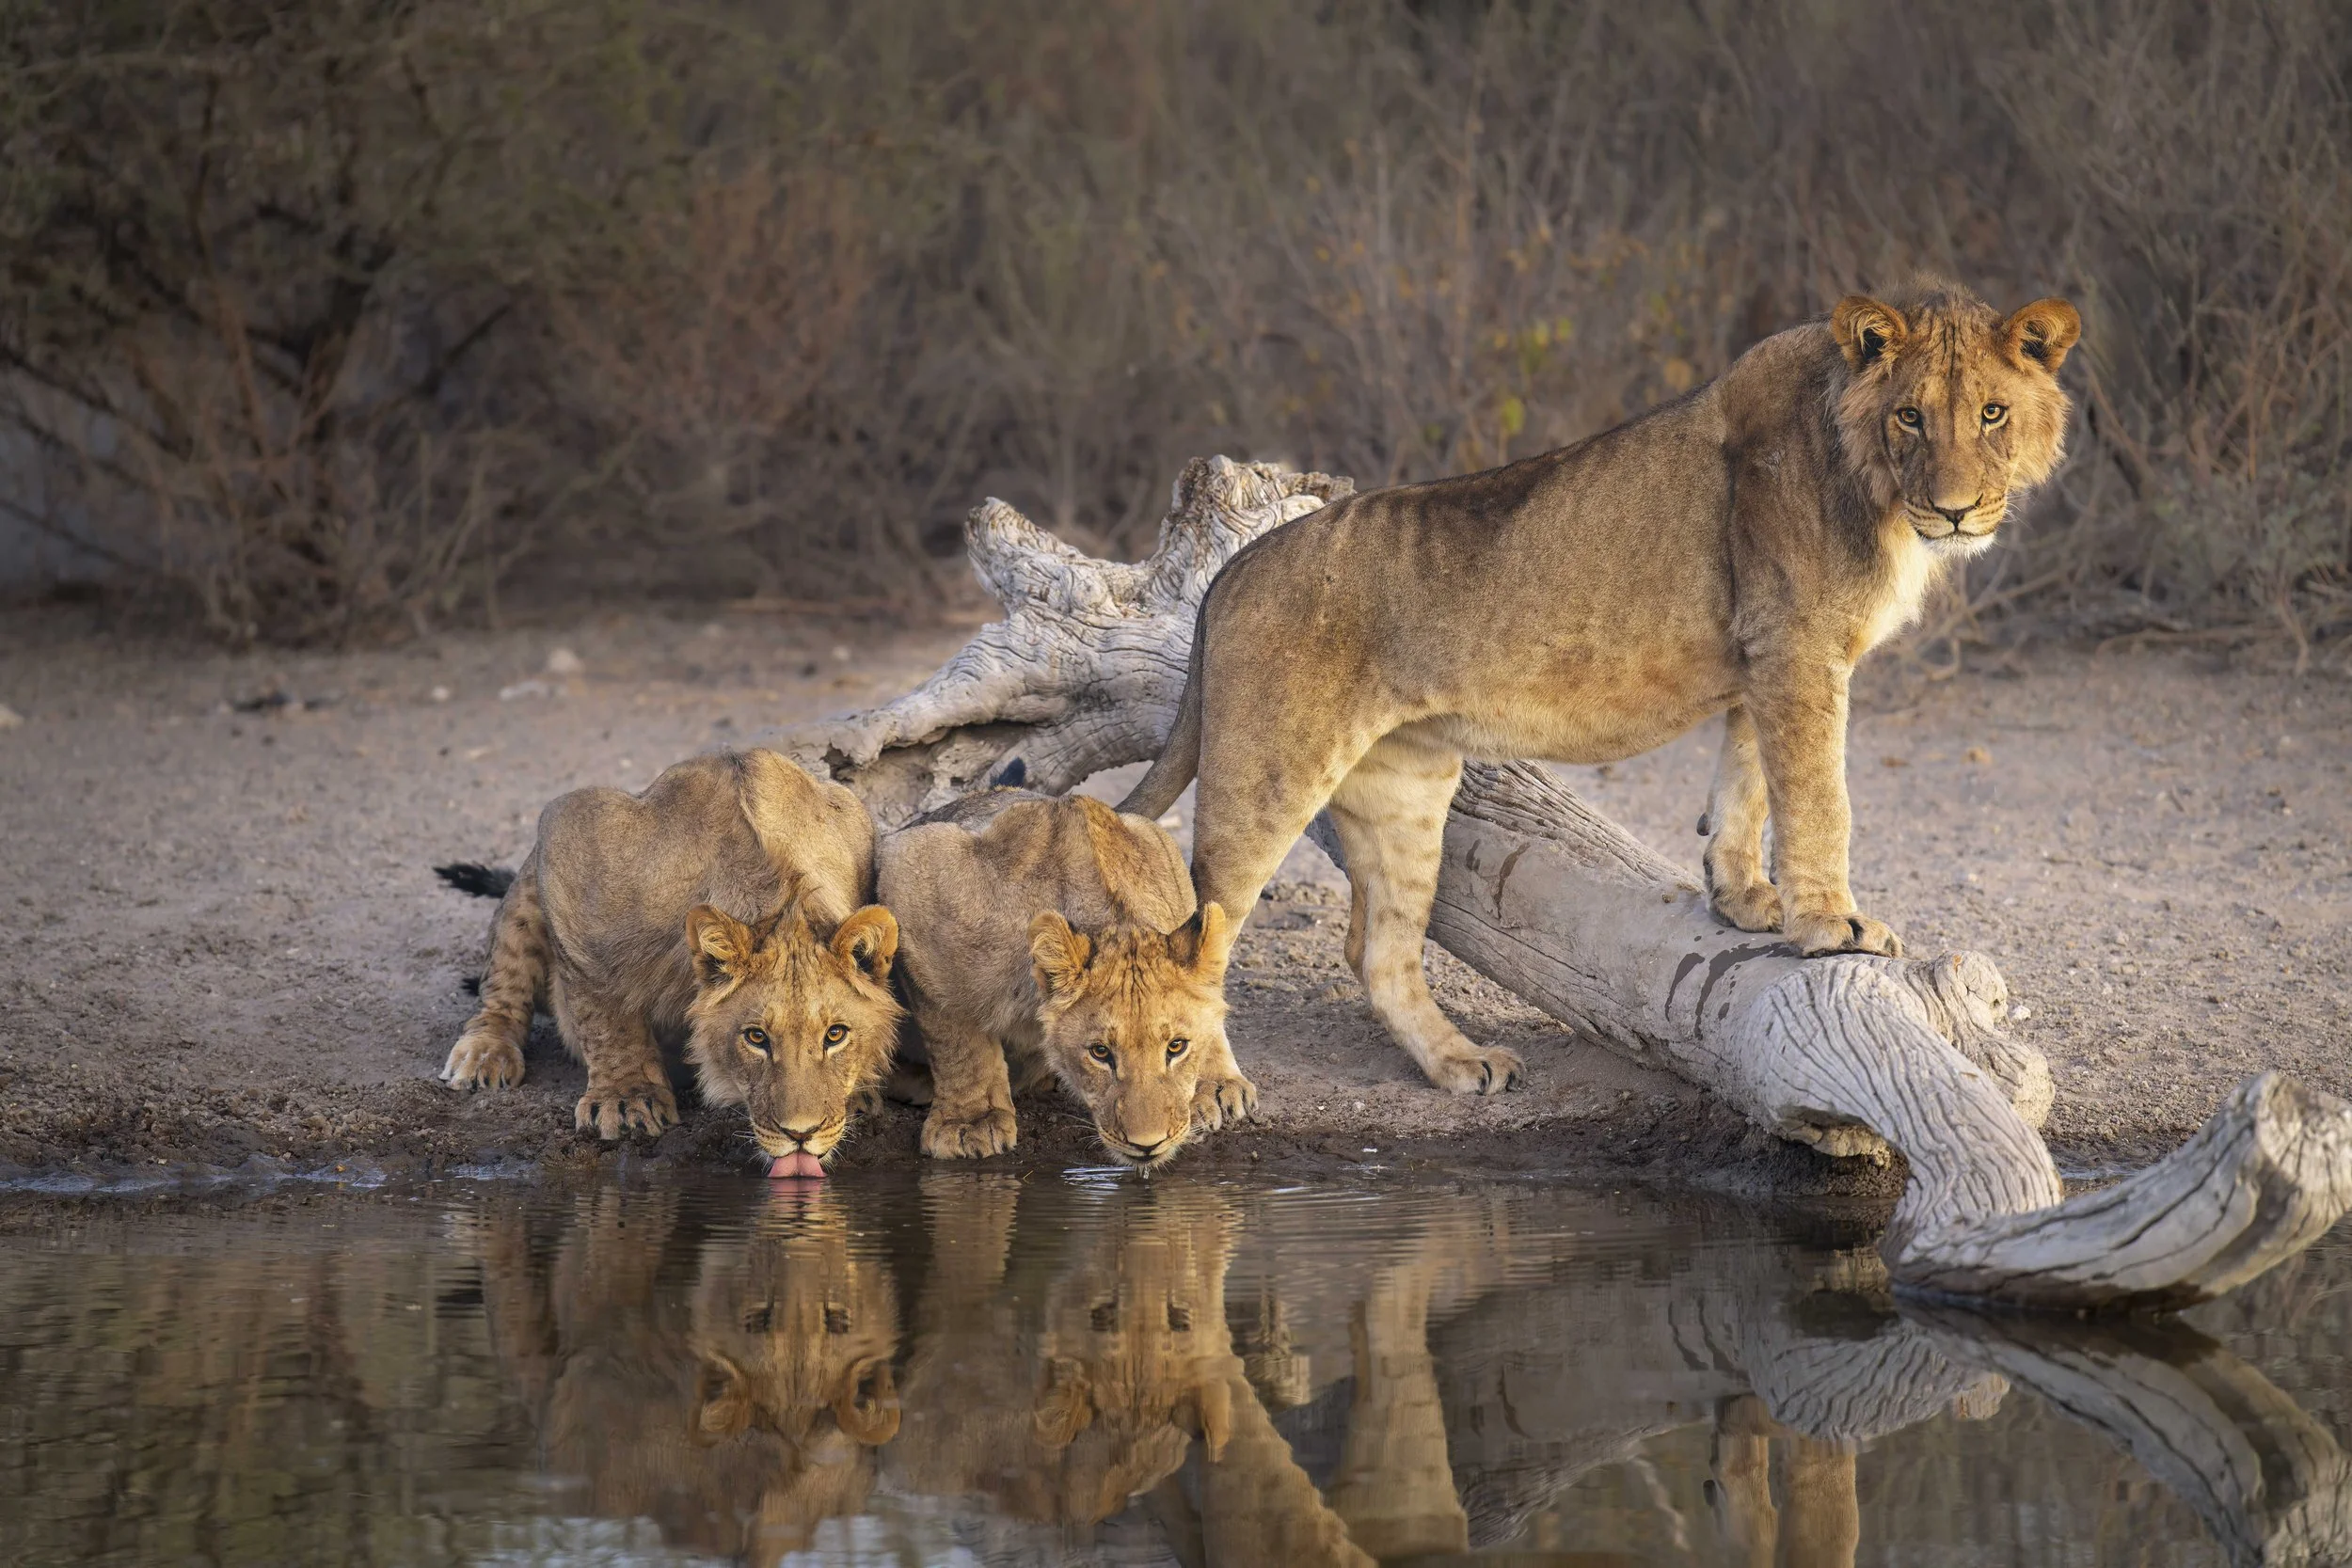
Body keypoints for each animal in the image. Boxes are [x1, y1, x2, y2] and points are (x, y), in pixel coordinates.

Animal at [438, 747, 902, 1167]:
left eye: (836, 1035)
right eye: (756, 1037)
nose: (800, 1134)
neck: (781, 901)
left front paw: (857, 1093)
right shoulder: (571, 833)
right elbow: (601, 1010)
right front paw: (626, 1099)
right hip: (529, 885)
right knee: (504, 978)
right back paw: (485, 1054)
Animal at [875, 790, 1244, 1167]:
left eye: (1176, 1047)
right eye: (1100, 1052)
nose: (1147, 1144)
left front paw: (1207, 1086)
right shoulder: (912, 869)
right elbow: (956, 1038)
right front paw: (969, 1123)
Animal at [1120, 281, 2080, 1095]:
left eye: (1992, 413)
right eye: (1910, 417)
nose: (1955, 510)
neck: (1869, 480)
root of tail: (1235, 568)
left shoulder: (1765, 656)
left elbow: (1748, 784)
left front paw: (1743, 902)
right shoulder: (1800, 650)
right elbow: (1818, 799)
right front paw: (1830, 926)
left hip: (1407, 782)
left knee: (1378, 949)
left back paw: (1463, 1063)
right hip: (1270, 772)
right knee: (1199, 934)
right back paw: (1210, 1085)